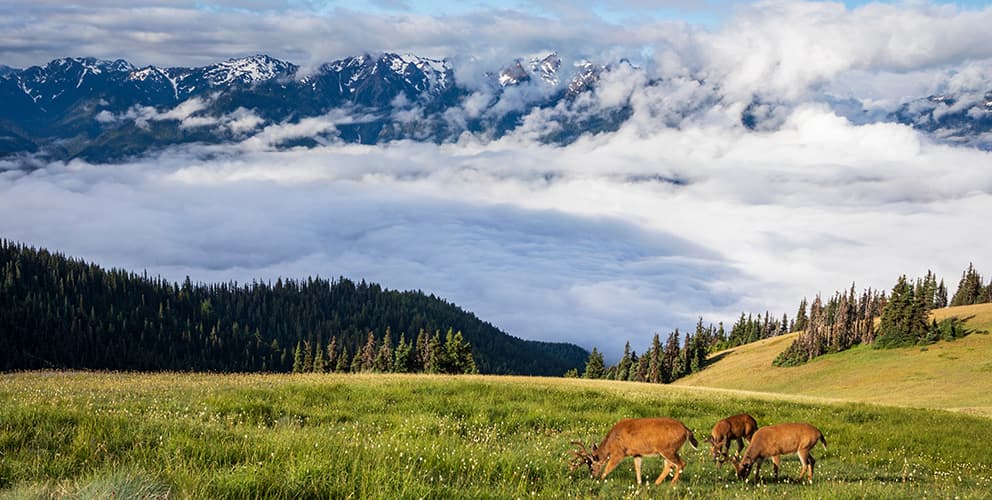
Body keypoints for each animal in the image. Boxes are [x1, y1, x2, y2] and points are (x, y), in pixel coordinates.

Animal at [568, 416, 700, 486]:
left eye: (591, 466)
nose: (592, 477)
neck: (611, 442)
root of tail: (686, 429)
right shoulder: (637, 453)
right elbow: (638, 467)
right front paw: (639, 483)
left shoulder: (619, 452)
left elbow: (608, 468)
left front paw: (601, 479)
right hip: (668, 450)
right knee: (669, 465)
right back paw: (656, 483)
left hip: (668, 449)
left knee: (681, 463)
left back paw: (672, 483)